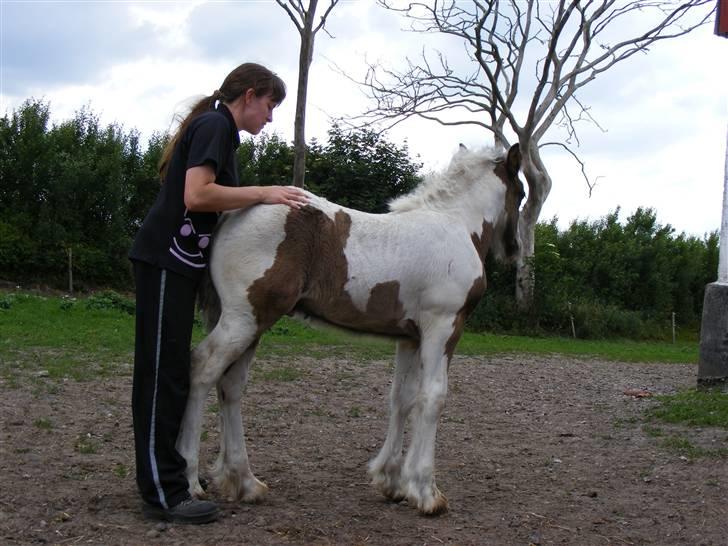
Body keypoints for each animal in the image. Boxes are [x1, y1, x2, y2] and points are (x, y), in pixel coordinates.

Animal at [179, 142, 528, 512]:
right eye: (521, 193)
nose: (514, 249)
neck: (455, 223)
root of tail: (232, 213)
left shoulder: (410, 337)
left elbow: (402, 398)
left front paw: (391, 481)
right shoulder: (443, 326)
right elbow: (432, 397)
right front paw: (425, 491)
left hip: (253, 323)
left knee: (230, 385)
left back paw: (244, 482)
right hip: (243, 319)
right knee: (203, 368)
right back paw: (189, 480)